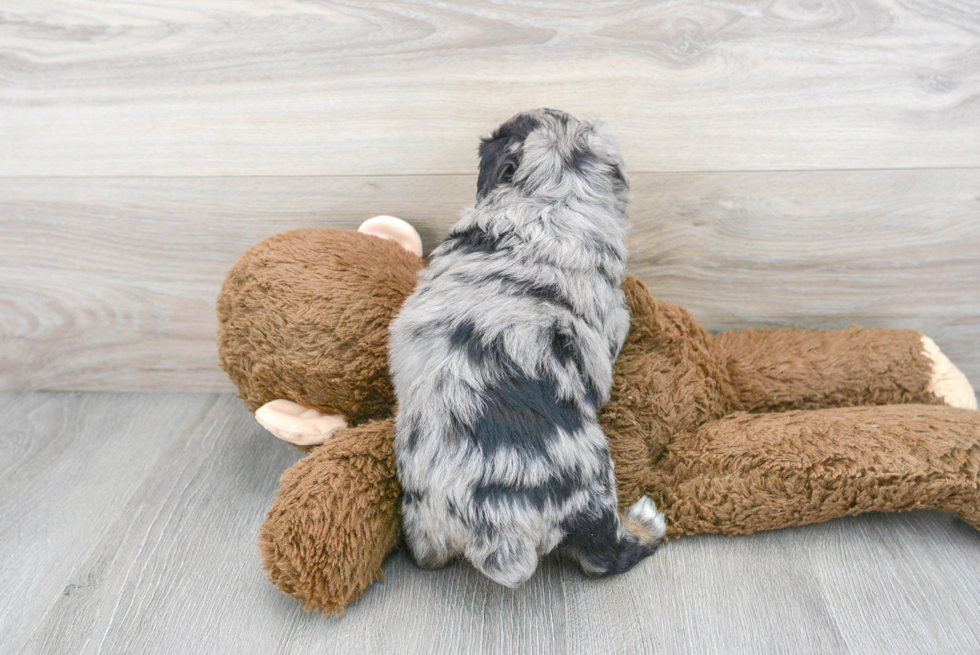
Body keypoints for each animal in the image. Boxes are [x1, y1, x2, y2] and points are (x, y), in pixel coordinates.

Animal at [388, 107, 668, 588]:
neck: (550, 200)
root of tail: (501, 529)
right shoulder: (614, 318)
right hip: (594, 482)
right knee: (602, 557)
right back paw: (646, 524)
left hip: (422, 513)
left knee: (426, 554)